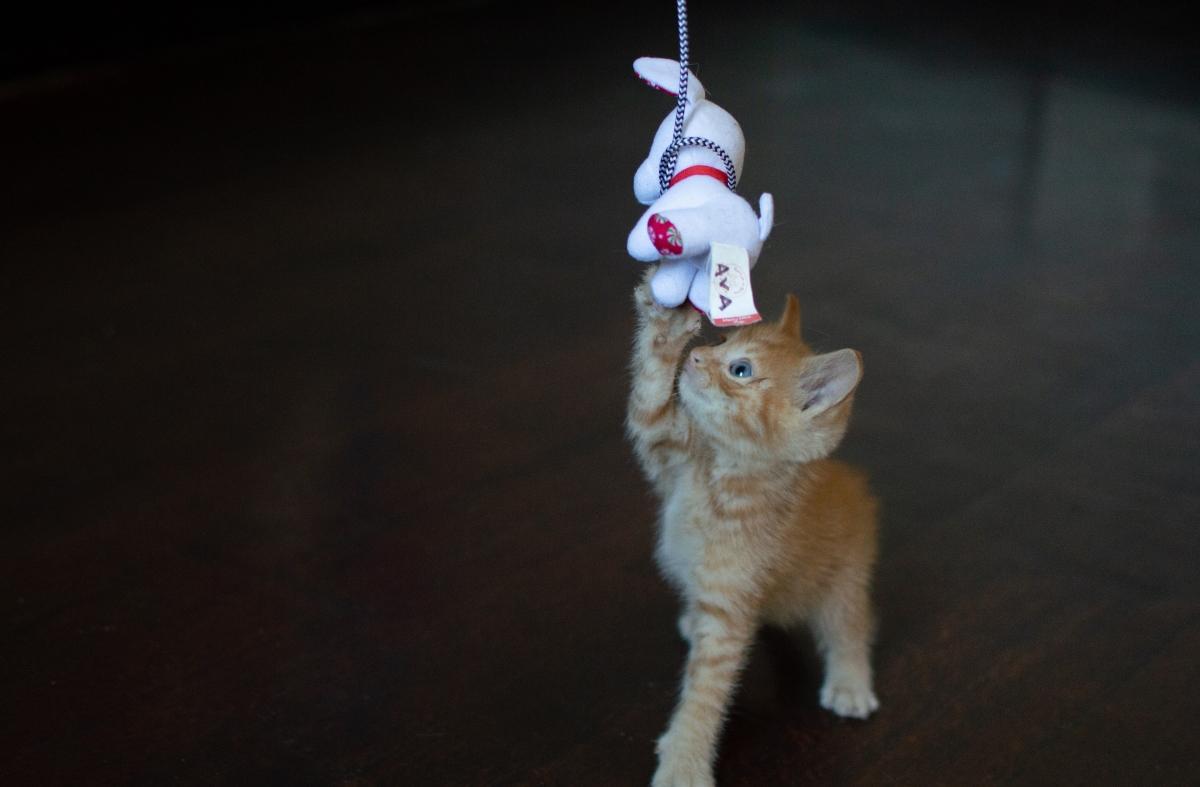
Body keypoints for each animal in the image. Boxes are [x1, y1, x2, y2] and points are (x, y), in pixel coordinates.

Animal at [628, 272, 883, 787]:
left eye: (740, 370)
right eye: (724, 341)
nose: (698, 356)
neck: (720, 476)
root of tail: (855, 486)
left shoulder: (729, 611)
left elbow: (705, 692)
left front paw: (684, 761)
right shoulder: (664, 446)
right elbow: (649, 397)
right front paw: (668, 324)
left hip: (846, 575)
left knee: (852, 623)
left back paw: (850, 681)